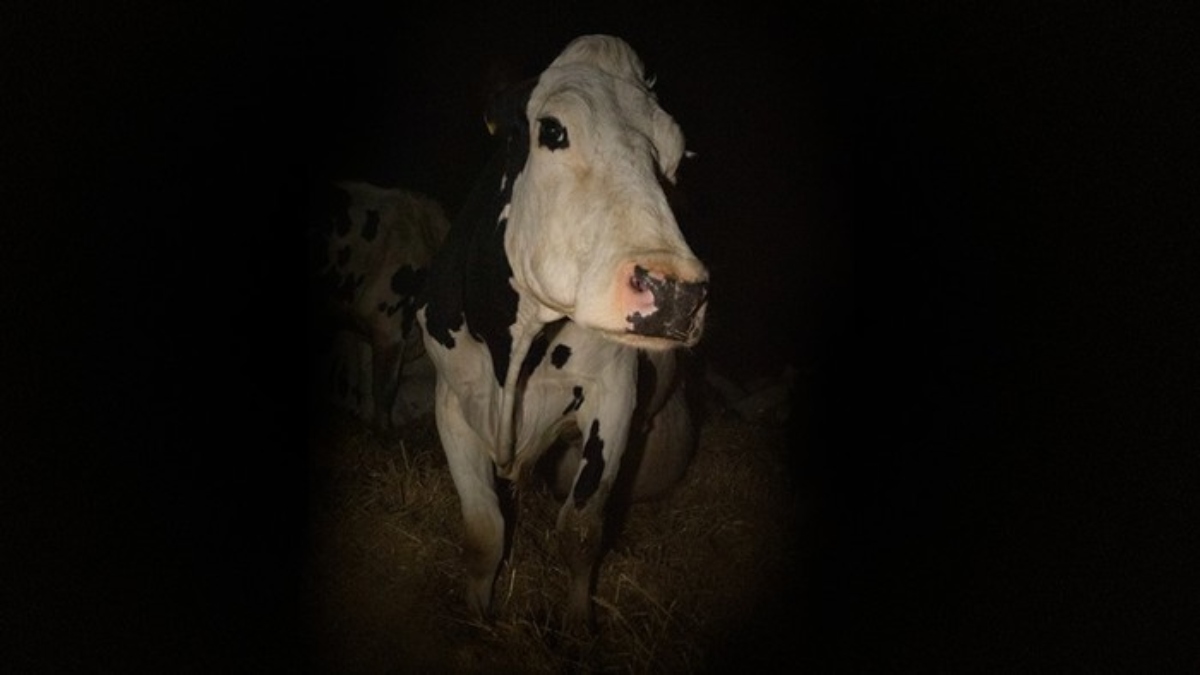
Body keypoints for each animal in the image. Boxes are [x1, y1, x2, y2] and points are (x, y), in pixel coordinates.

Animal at [417, 34, 709, 632]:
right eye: (552, 130)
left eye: (675, 156)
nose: (676, 293)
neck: (514, 353)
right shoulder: (451, 399)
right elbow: (483, 532)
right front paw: (477, 620)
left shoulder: (613, 395)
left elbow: (579, 530)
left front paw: (577, 628)